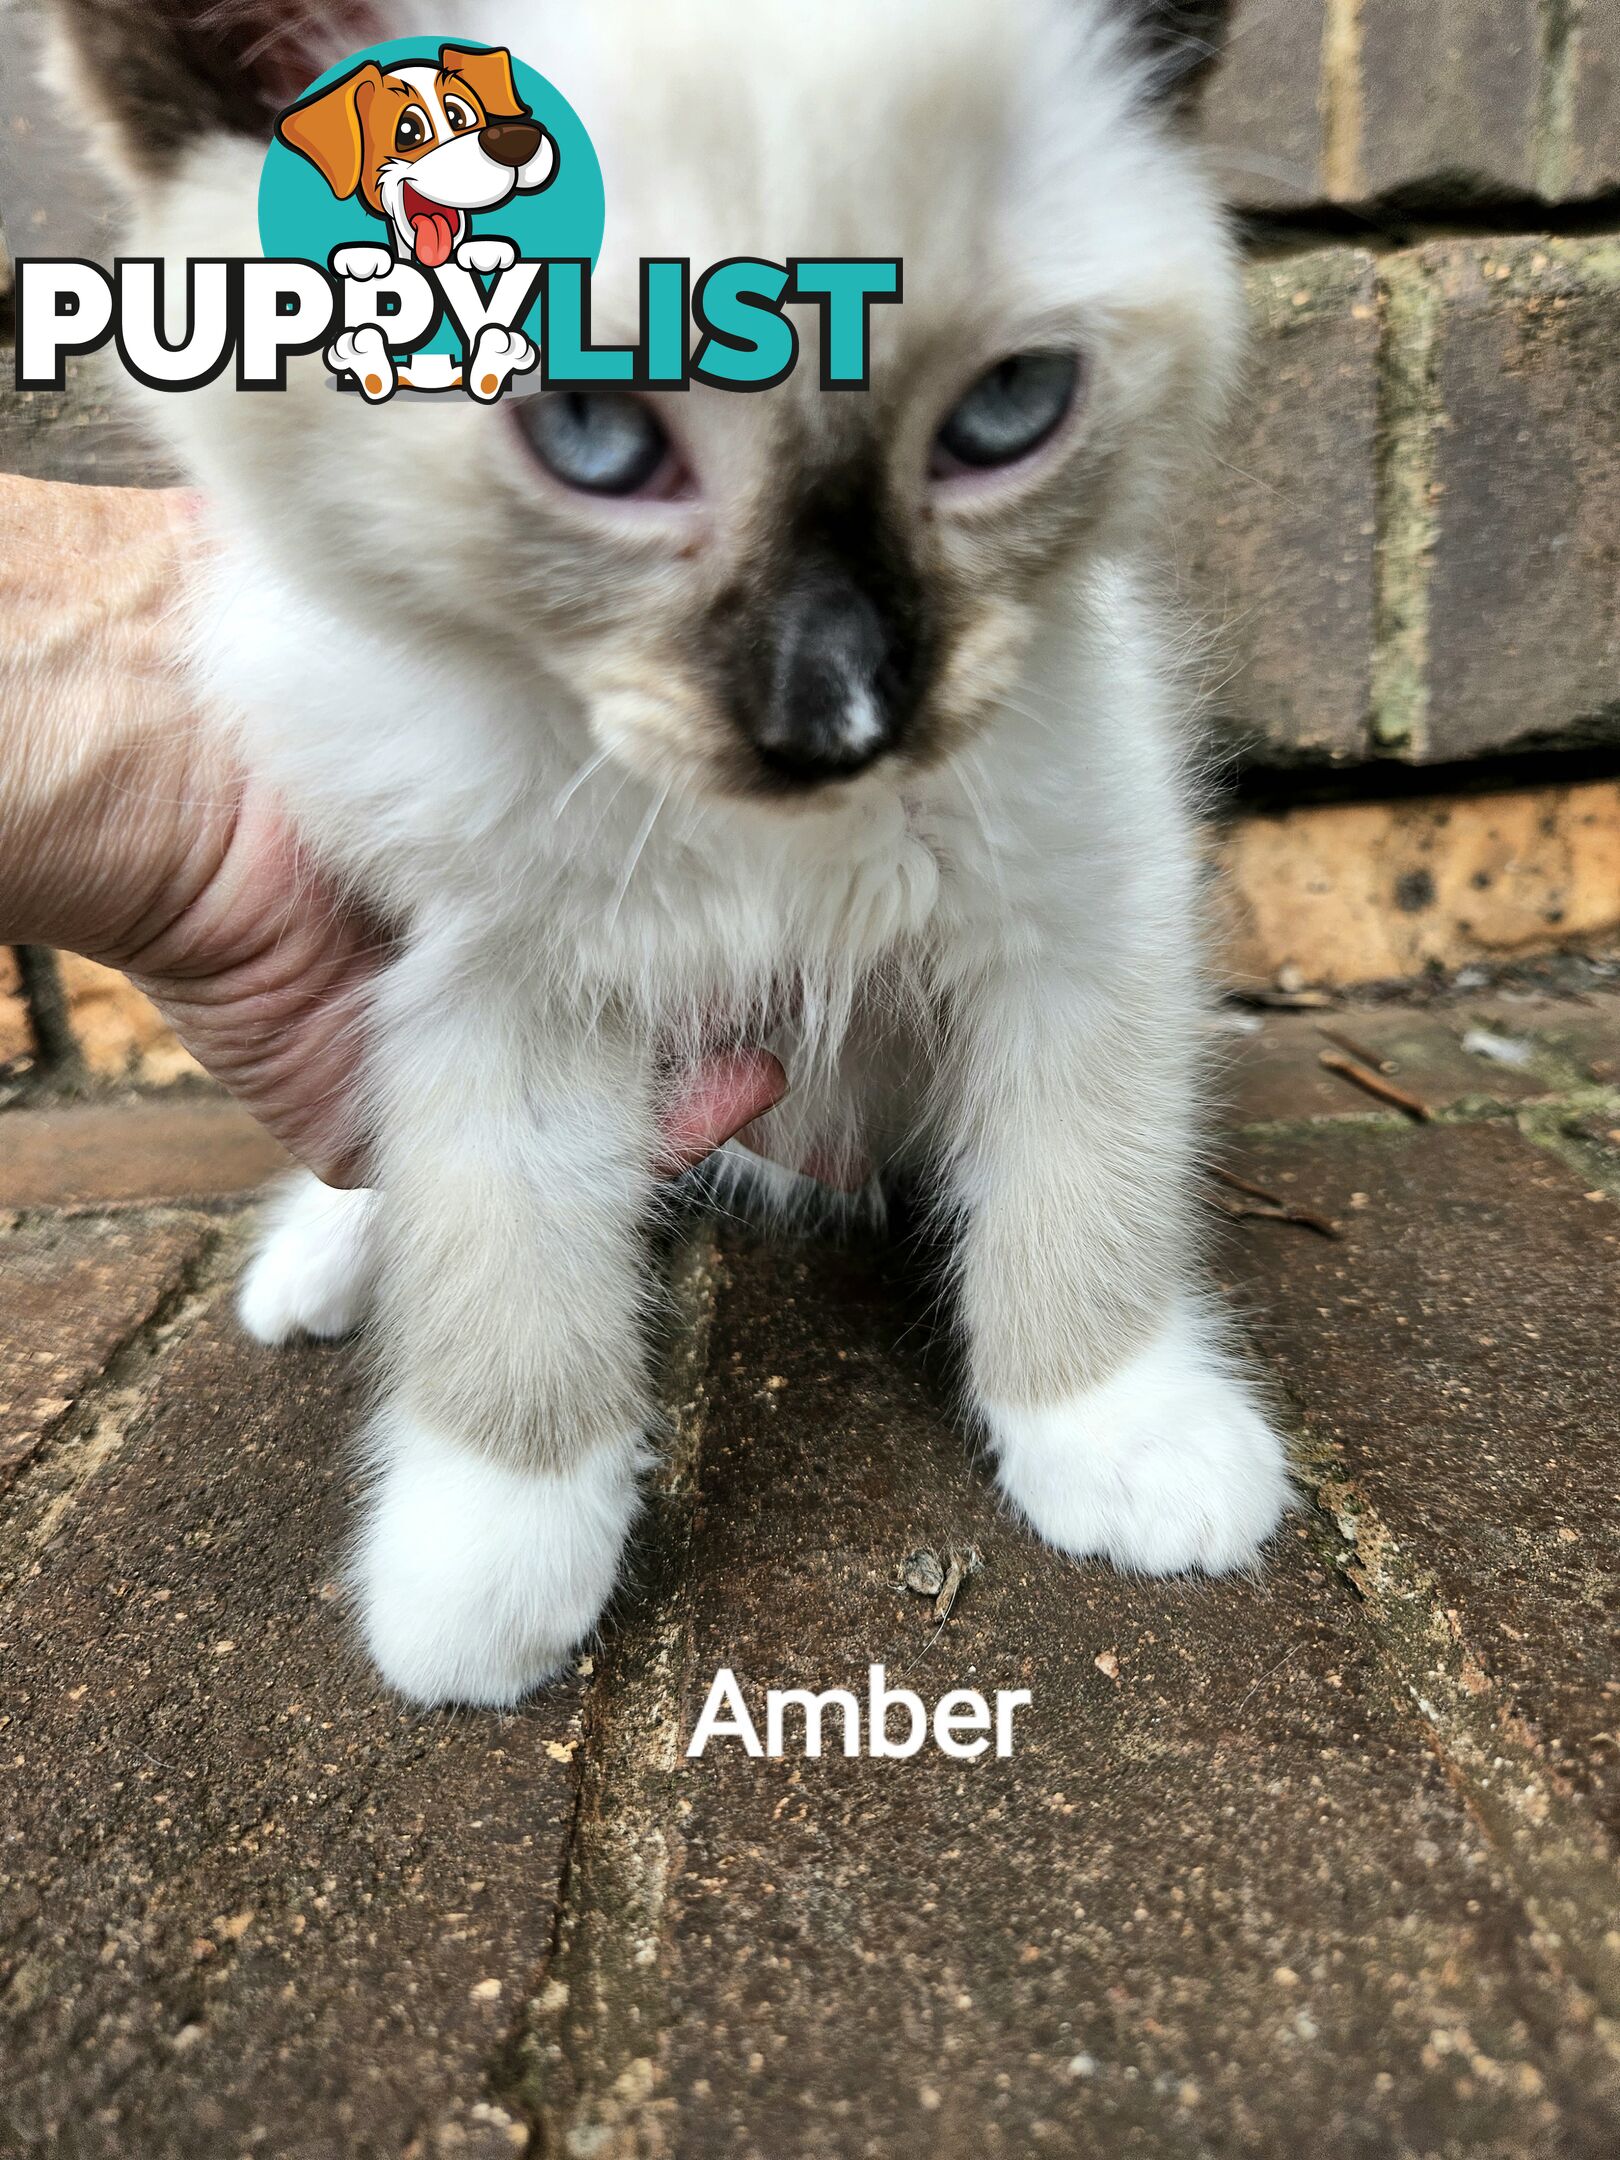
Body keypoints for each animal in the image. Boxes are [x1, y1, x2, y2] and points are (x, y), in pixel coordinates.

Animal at [54, 0, 1296, 1702]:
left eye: (1008, 413)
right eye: (589, 428)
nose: (839, 709)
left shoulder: (1078, 921)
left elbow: (1083, 1204)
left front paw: (1124, 1438)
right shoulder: (496, 990)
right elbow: (509, 1295)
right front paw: (484, 1575)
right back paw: (319, 1272)